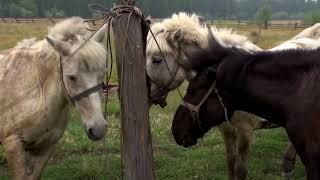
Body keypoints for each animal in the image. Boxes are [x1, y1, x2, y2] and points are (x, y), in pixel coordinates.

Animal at [146, 11, 320, 179]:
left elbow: (240, 169)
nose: (148, 95)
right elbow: (230, 163)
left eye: (156, 60)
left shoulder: (245, 132)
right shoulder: (227, 131)